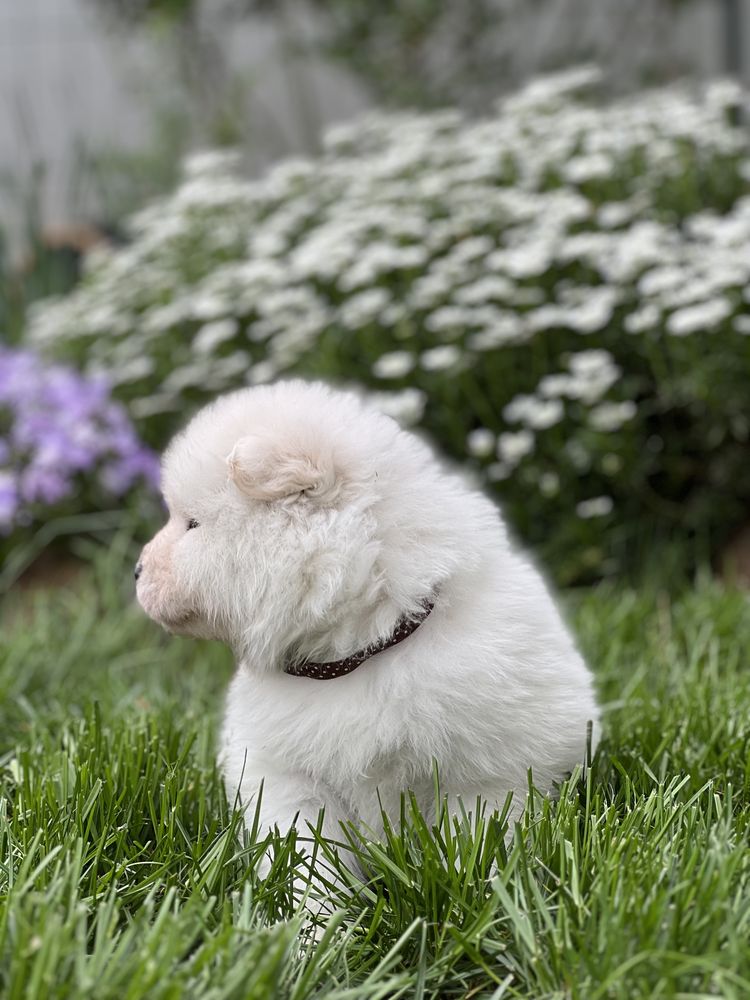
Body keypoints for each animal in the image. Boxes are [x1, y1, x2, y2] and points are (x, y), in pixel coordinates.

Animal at [138, 378, 604, 848]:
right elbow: (303, 845)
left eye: (193, 524)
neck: (363, 647)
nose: (137, 570)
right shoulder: (287, 776)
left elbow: (477, 834)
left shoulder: (487, 773)